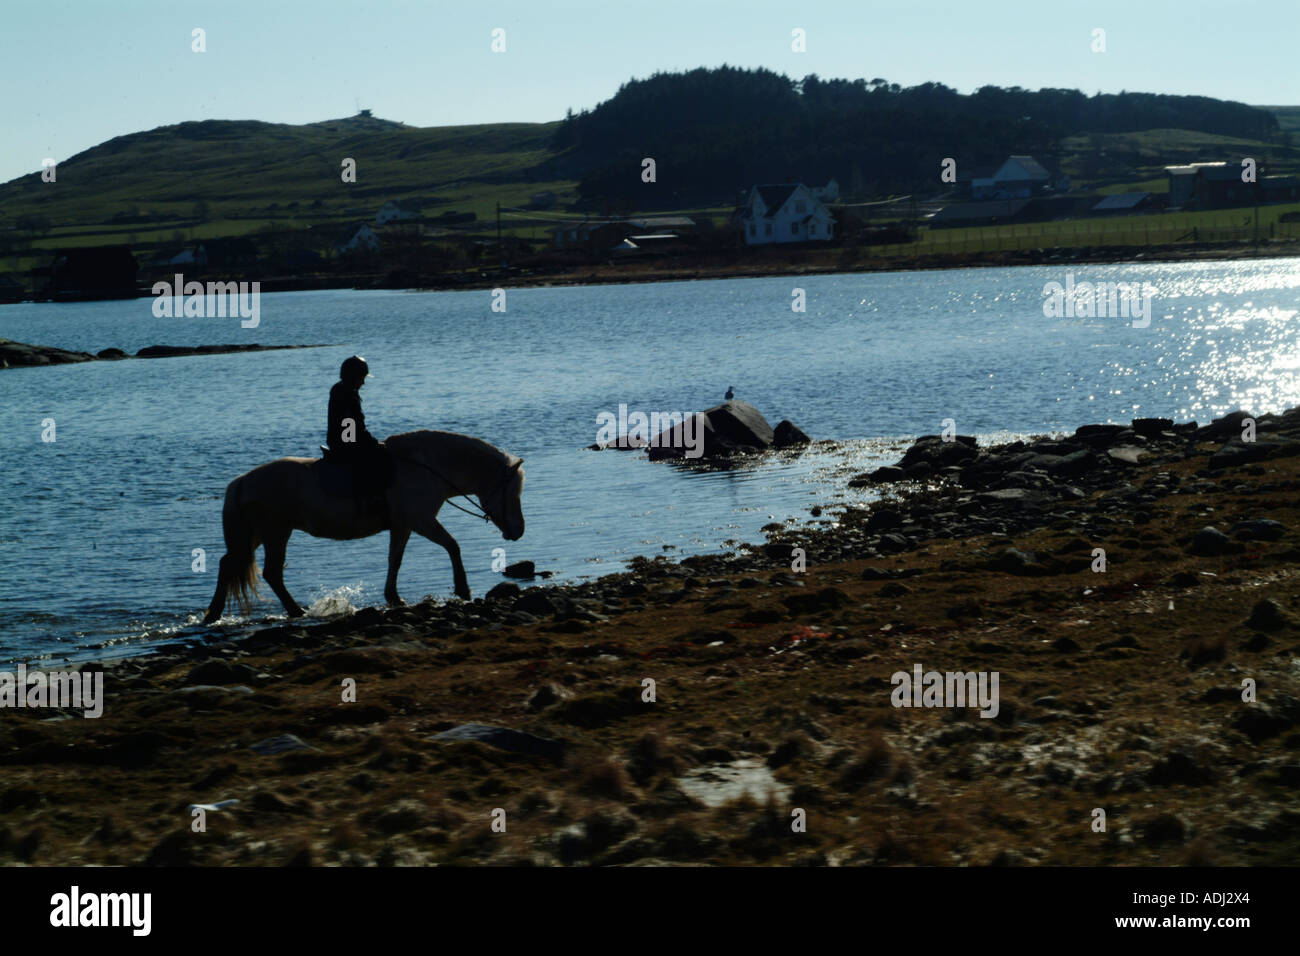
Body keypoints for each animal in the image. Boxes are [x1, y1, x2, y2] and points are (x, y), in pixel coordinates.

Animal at [201, 429, 522, 624]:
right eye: (512, 493)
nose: (518, 531)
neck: (425, 467)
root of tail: (242, 482)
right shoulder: (422, 522)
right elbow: (453, 546)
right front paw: (463, 588)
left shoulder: (403, 526)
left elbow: (395, 560)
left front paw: (394, 598)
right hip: (276, 533)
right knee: (271, 572)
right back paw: (295, 610)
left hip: (256, 535)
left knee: (228, 564)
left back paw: (213, 614)